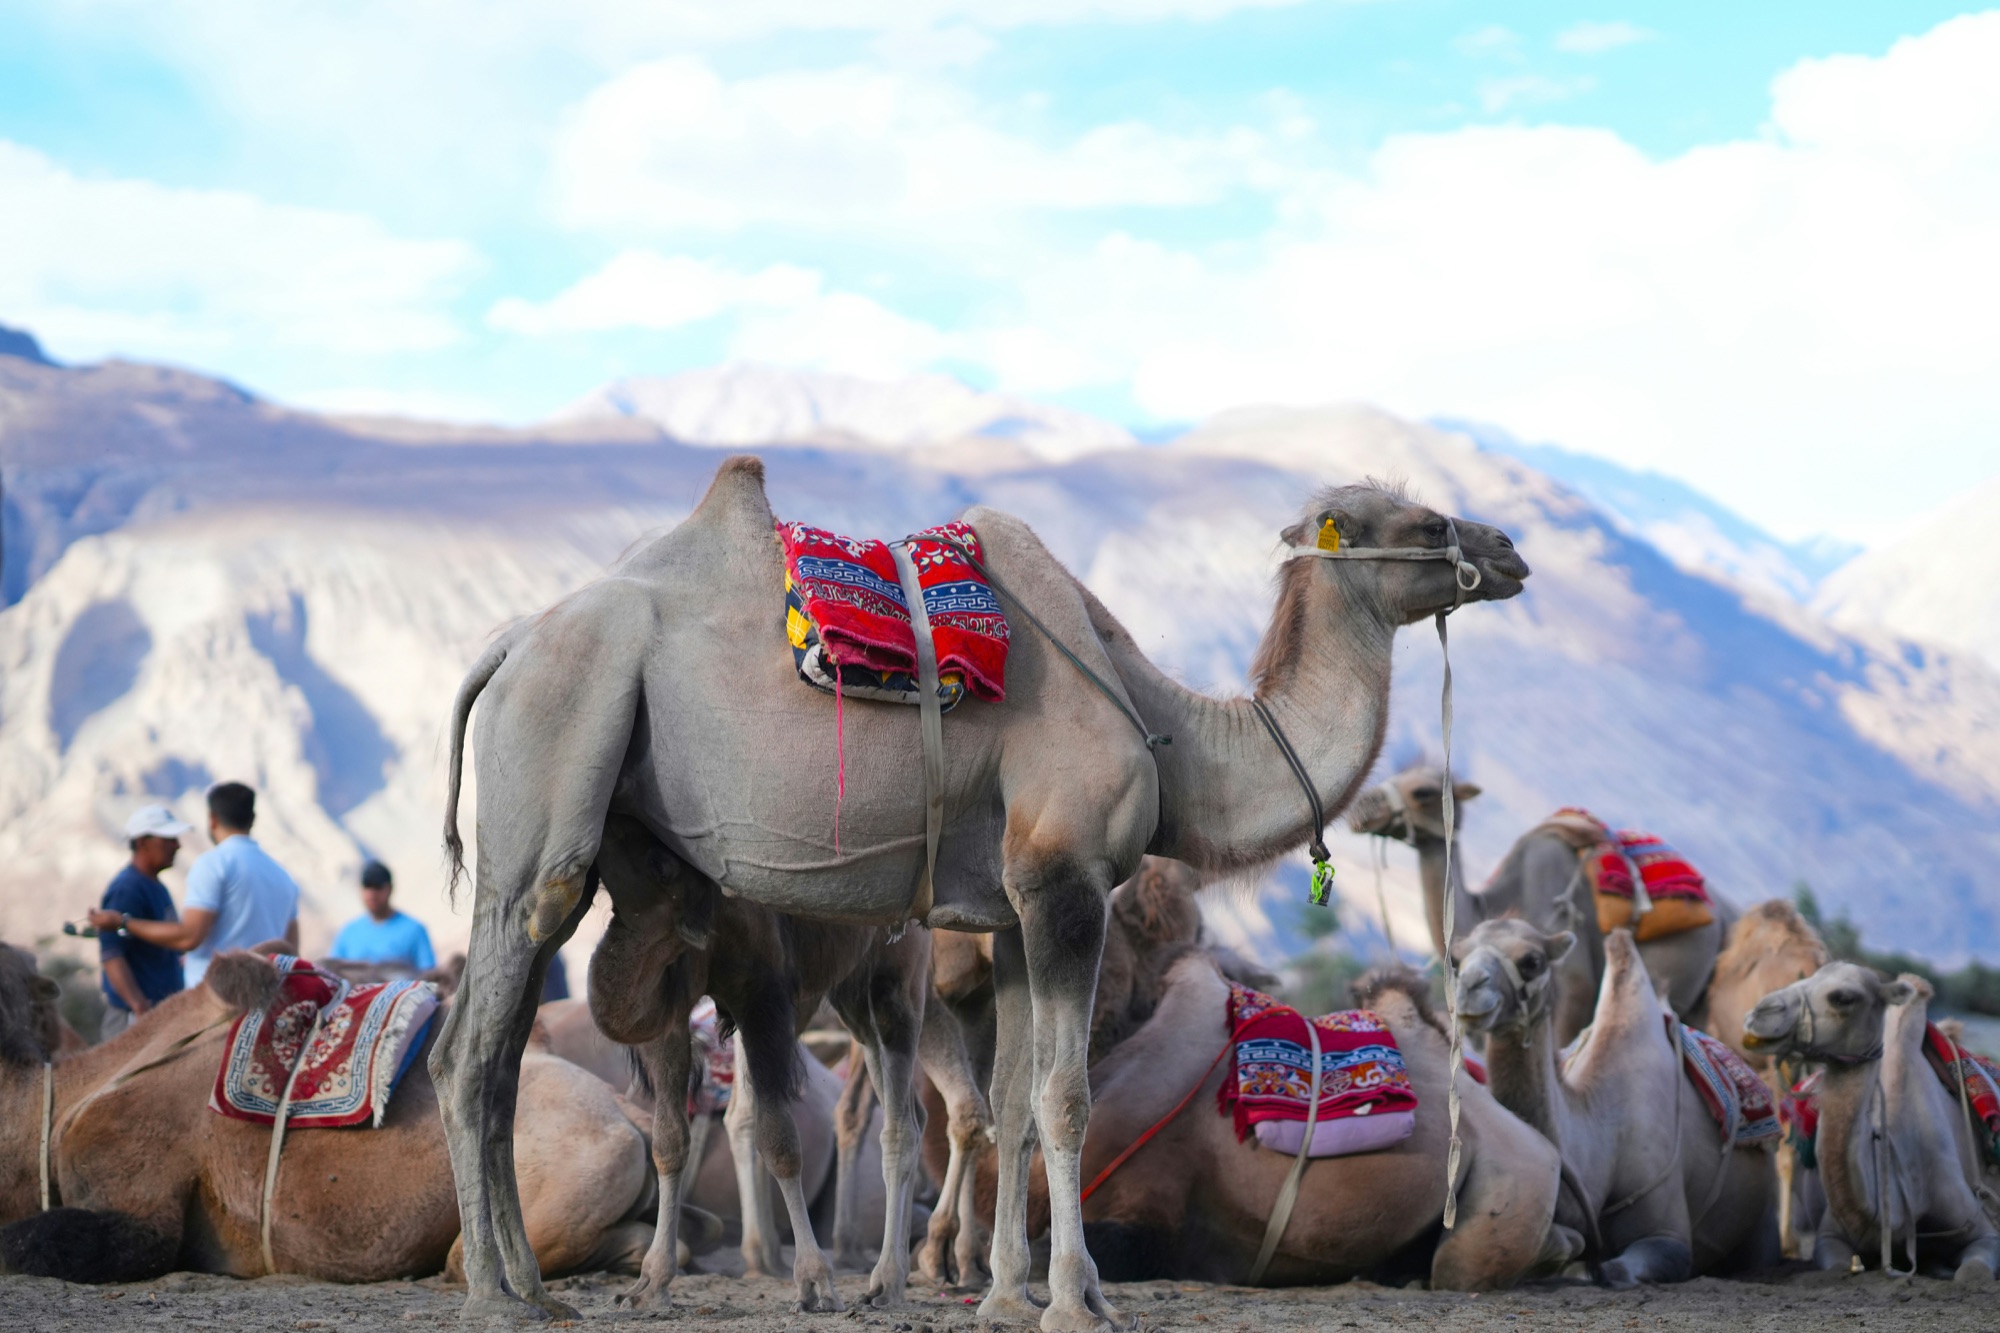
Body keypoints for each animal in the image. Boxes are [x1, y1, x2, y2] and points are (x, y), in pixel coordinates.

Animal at [434, 457, 1528, 1327]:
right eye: (1422, 520)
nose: (1509, 548)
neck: (1170, 727)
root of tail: (507, 647)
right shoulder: (1063, 880)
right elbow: (1063, 1096)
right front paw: (1074, 1302)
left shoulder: (1009, 909)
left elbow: (1007, 1099)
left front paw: (1004, 1292)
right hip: (556, 756)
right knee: (476, 1051)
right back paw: (496, 1291)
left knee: (489, 1046)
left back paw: (535, 1287)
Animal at [1453, 919, 1777, 1286]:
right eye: (1456, 960)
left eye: (1532, 961)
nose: (1470, 988)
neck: (1604, 1141)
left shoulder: (1668, 1237)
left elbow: (1604, 1268)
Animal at [1744, 964, 2000, 1280]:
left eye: (1843, 998)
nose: (1759, 1012)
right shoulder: (1830, 1236)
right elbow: (1836, 1267)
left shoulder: (1982, 1229)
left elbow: (1971, 1274)